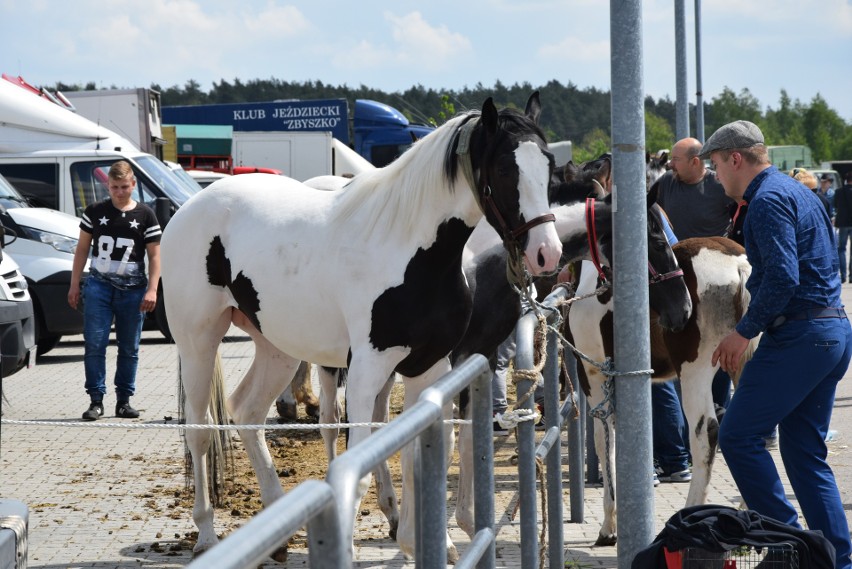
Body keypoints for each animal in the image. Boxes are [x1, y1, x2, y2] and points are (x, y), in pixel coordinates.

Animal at [160, 93, 564, 560]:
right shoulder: (367, 369)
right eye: (503, 169)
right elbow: (362, 467)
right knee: (201, 429)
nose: (547, 253)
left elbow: (417, 452)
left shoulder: (429, 366)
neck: (413, 252)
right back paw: (206, 535)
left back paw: (275, 535)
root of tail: (191, 205)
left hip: (277, 347)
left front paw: (417, 542)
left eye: (549, 165)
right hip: (198, 340)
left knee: (247, 412)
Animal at [568, 236, 756, 544]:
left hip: (694, 372)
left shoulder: (592, 374)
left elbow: (604, 441)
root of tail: (738, 265)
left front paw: (609, 526)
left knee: (706, 432)